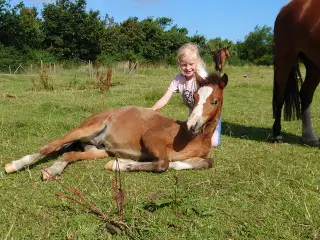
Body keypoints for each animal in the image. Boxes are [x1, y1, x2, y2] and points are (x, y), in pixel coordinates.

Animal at [5, 73, 228, 180]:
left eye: (214, 101)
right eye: (195, 97)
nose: (192, 125)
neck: (193, 138)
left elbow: (206, 163)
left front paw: (121, 163)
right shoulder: (152, 138)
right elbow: (163, 164)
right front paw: (120, 165)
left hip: (99, 150)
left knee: (68, 154)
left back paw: (52, 171)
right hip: (87, 128)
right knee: (51, 145)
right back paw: (15, 165)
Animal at [272, 0, 320, 145]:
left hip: (313, 64)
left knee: (306, 93)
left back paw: (309, 136)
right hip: (285, 59)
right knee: (280, 96)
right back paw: (277, 134)